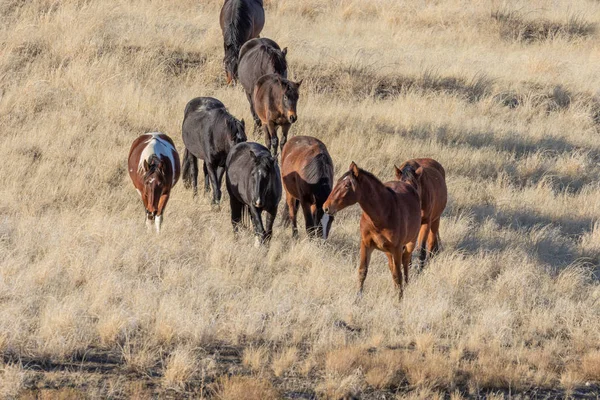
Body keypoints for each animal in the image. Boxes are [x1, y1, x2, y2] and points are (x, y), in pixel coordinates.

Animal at [324, 161, 422, 298]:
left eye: (347, 185)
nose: (326, 207)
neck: (382, 214)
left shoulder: (397, 248)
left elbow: (398, 275)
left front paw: (399, 299)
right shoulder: (366, 245)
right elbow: (362, 271)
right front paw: (358, 298)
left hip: (410, 243)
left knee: (405, 261)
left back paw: (406, 286)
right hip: (388, 251)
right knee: (393, 268)